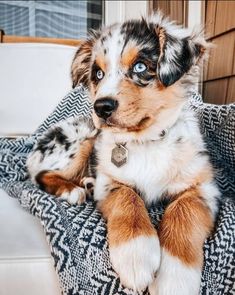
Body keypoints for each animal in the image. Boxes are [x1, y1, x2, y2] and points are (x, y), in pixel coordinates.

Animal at [27, 12, 220, 295]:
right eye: (97, 73)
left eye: (140, 67)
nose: (101, 107)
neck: (146, 140)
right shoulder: (110, 181)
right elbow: (127, 197)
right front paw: (136, 256)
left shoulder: (204, 187)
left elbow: (185, 210)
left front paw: (174, 277)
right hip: (82, 136)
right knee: (42, 174)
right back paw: (72, 190)